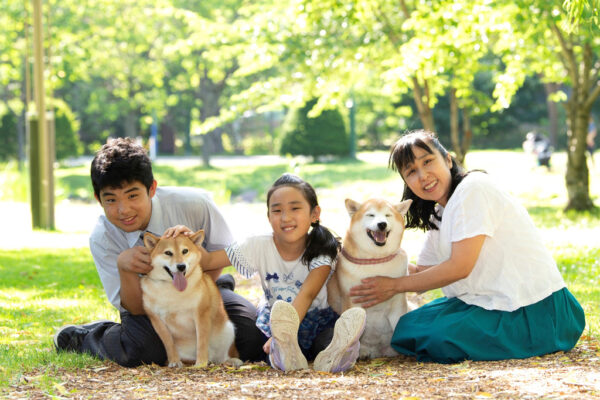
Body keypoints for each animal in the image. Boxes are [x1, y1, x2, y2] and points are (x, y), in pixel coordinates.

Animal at [142, 230, 240, 368]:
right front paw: (174, 361)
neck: (173, 290)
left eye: (185, 251)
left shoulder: (201, 314)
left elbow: (202, 342)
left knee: (222, 356)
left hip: (228, 329)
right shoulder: (156, 320)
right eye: (168, 253)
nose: (181, 266)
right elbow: (168, 343)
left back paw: (230, 361)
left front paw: (201, 363)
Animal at [328, 198, 412, 358]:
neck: (375, 261)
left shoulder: (398, 305)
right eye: (371, 215)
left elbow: (401, 326)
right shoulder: (351, 303)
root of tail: (377, 352)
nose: (382, 224)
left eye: (387, 215)